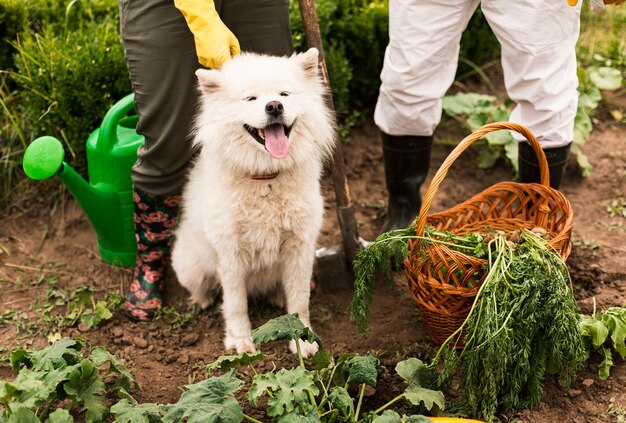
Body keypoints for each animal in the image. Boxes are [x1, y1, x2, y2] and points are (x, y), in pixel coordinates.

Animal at [171, 47, 334, 358]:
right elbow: (235, 302)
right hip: (190, 265)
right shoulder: (231, 252)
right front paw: (240, 341)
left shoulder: (299, 247)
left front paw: (302, 340)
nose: (274, 107)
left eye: (284, 94)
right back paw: (201, 301)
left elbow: (300, 300)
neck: (265, 176)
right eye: (250, 99)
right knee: (202, 287)